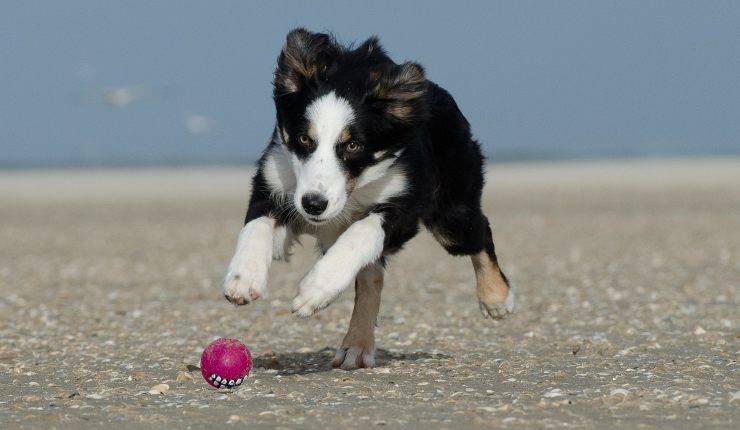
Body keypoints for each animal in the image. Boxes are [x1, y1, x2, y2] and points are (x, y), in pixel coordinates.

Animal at [224, 28, 516, 370]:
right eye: (304, 139)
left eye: (353, 146)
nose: (314, 204)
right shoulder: (275, 181)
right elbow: (256, 225)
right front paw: (243, 278)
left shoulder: (405, 204)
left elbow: (360, 233)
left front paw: (315, 289)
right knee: (371, 277)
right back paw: (357, 344)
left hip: (452, 214)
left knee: (479, 232)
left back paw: (497, 298)